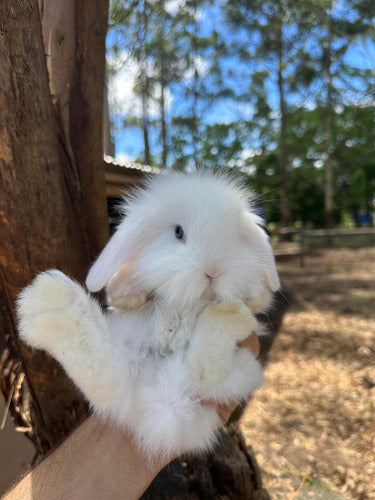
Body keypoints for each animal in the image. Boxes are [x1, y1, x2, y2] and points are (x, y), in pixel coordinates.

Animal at [16, 172, 280, 458]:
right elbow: (125, 289)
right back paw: (49, 305)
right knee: (111, 379)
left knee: (200, 374)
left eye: (235, 236)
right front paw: (123, 292)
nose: (214, 271)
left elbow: (259, 299)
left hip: (240, 370)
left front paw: (249, 301)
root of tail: (166, 399)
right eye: (178, 232)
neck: (187, 304)